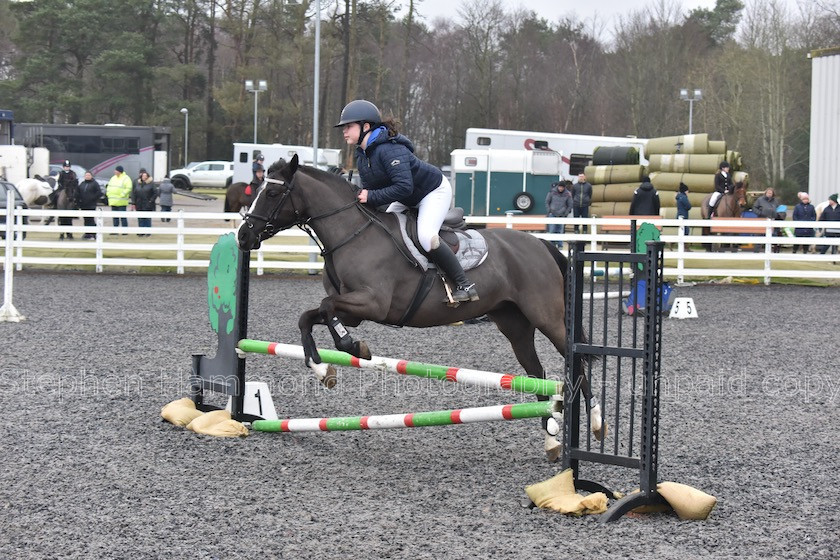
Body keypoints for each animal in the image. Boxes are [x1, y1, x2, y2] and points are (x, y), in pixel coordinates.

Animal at [236, 155, 604, 462]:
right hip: (514, 325)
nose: (243, 236)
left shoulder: (373, 302)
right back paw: (552, 438)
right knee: (537, 374)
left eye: (272, 193)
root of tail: (540, 243)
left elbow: (326, 309)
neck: (351, 233)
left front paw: (349, 348)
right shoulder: (354, 310)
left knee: (577, 363)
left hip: (548, 317)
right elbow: (313, 316)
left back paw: (597, 422)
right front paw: (323, 366)